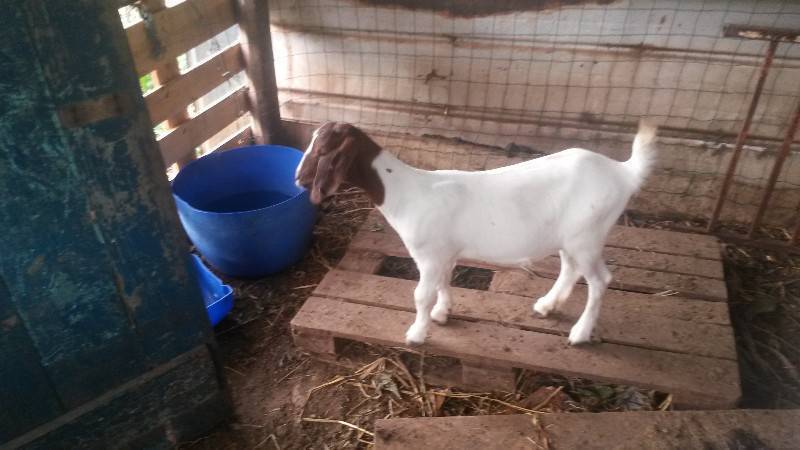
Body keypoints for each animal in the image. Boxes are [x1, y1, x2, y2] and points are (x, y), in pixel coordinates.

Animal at [294, 121, 656, 346]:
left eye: (322, 149)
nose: (298, 178)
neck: (405, 191)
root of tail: (624, 172)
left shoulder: (429, 255)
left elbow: (421, 295)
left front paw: (416, 334)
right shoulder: (444, 254)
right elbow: (444, 283)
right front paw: (442, 314)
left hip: (588, 236)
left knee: (599, 280)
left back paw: (580, 333)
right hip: (572, 237)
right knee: (571, 269)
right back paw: (546, 306)